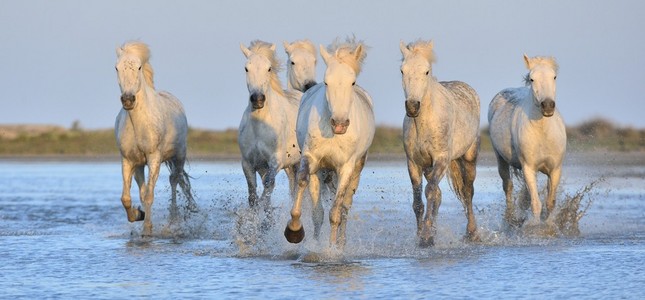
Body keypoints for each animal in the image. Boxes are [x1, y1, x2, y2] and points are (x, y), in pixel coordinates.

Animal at [113, 41, 195, 237]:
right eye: (116, 68)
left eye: (139, 67)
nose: (128, 100)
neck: (139, 123)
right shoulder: (128, 161)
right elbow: (127, 197)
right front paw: (138, 214)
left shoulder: (154, 159)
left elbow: (150, 195)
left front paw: (147, 230)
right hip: (140, 165)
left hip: (178, 157)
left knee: (175, 180)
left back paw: (174, 217)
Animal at [238, 39, 304, 209]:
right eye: (246, 68)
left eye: (269, 68)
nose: (258, 99)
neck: (260, 126)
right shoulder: (249, 163)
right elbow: (253, 195)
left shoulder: (275, 161)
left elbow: (268, 187)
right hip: (290, 166)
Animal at [284, 37, 374, 248]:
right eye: (326, 82)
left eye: (352, 81)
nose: (339, 124)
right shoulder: (311, 158)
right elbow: (303, 183)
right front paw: (294, 231)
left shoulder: (346, 168)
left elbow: (336, 211)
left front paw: (332, 249)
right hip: (322, 171)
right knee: (318, 211)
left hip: (356, 170)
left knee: (345, 207)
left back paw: (340, 243)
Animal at [400, 40, 480, 246]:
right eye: (402, 70)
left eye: (427, 71)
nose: (412, 106)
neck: (424, 123)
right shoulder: (413, 163)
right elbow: (418, 202)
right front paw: (421, 235)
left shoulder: (441, 160)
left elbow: (430, 192)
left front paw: (426, 238)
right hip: (429, 168)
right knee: (439, 195)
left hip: (468, 158)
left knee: (467, 192)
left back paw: (472, 233)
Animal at [488, 54, 564, 227]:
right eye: (532, 79)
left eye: (554, 77)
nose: (547, 106)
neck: (543, 134)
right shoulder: (528, 168)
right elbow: (536, 204)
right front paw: (534, 227)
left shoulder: (555, 170)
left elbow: (550, 203)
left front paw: (549, 225)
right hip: (500, 159)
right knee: (508, 187)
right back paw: (509, 218)